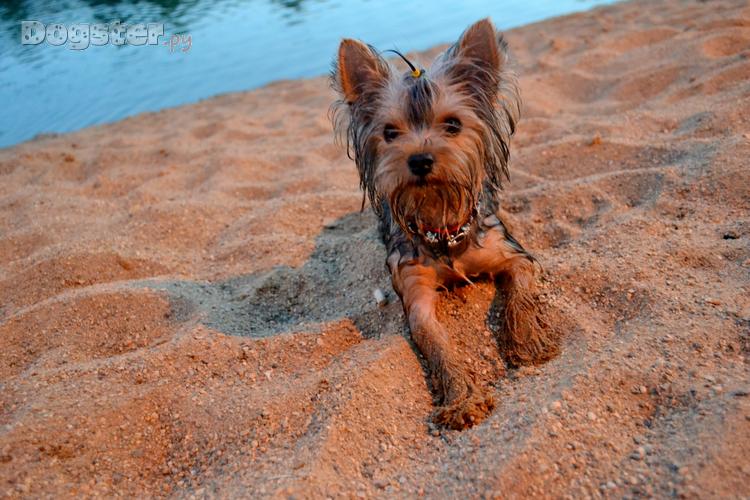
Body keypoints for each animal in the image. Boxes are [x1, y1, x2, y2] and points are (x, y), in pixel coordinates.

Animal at [331, 19, 557, 430]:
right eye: (390, 132)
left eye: (452, 124)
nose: (419, 159)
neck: (440, 220)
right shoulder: (414, 288)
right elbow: (435, 341)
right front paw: (462, 396)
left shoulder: (511, 253)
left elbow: (519, 292)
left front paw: (527, 340)